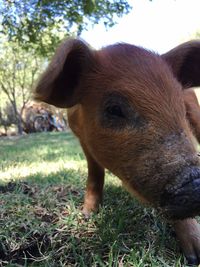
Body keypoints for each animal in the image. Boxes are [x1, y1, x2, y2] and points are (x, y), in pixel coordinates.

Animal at [35, 38, 200, 266]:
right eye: (114, 109)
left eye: (180, 109)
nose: (196, 183)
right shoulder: (81, 138)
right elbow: (94, 173)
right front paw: (88, 214)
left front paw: (195, 256)